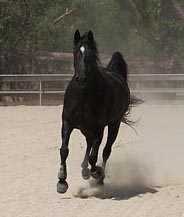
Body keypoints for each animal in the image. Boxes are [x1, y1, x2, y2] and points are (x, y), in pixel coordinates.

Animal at [57, 30, 137, 193]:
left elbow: (94, 156)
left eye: (90, 54)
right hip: (86, 128)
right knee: (89, 143)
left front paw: (96, 172)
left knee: (106, 150)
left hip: (114, 125)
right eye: (76, 52)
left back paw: (98, 177)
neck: (84, 96)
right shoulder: (67, 123)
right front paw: (61, 180)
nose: (81, 78)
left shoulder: (99, 128)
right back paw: (84, 169)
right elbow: (64, 150)